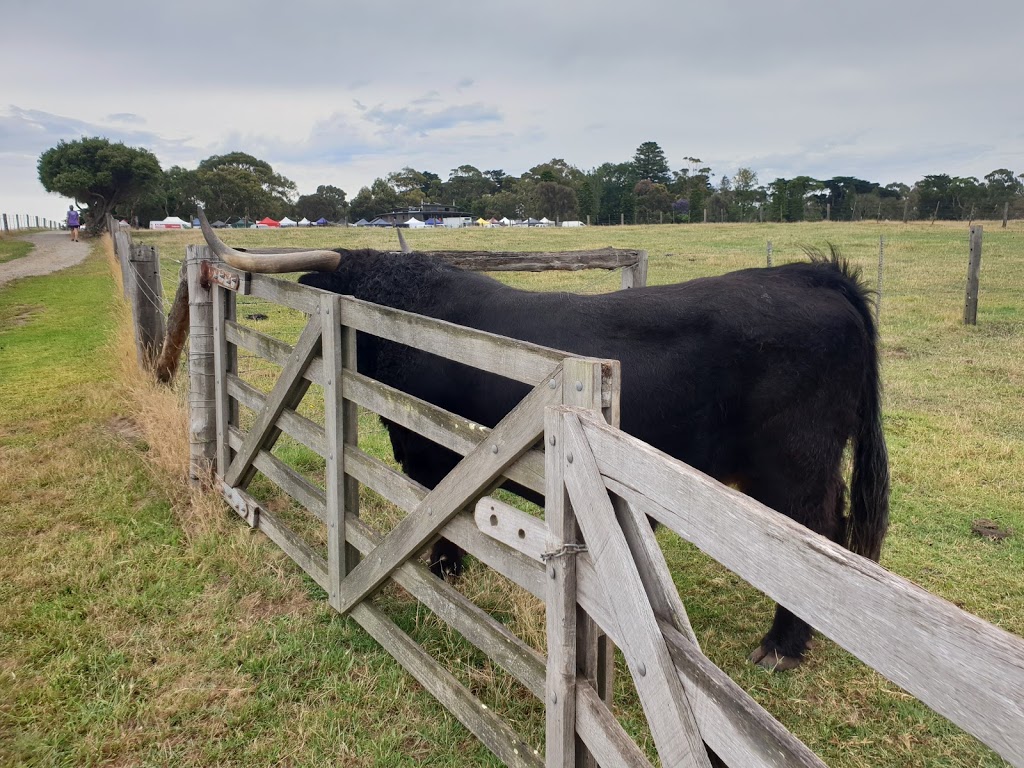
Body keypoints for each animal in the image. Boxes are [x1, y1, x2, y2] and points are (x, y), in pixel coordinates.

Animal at [199, 214, 888, 671]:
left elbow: (441, 521)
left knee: (820, 535)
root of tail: (811, 276)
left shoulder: (435, 455)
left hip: (795, 465)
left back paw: (782, 647)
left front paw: (445, 572)